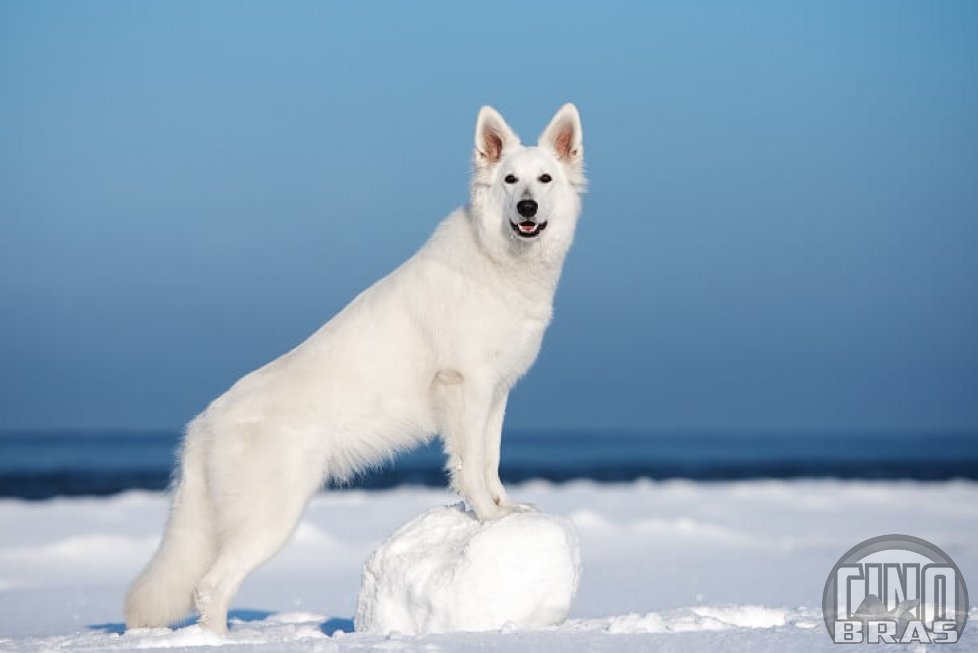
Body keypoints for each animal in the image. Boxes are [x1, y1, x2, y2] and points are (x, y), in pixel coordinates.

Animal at [123, 103, 584, 632]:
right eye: (510, 180)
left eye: (544, 179)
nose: (527, 208)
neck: (499, 261)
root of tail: (202, 425)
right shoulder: (466, 385)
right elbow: (470, 465)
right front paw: (488, 517)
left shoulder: (496, 392)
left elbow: (490, 459)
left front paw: (505, 510)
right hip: (271, 518)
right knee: (211, 586)